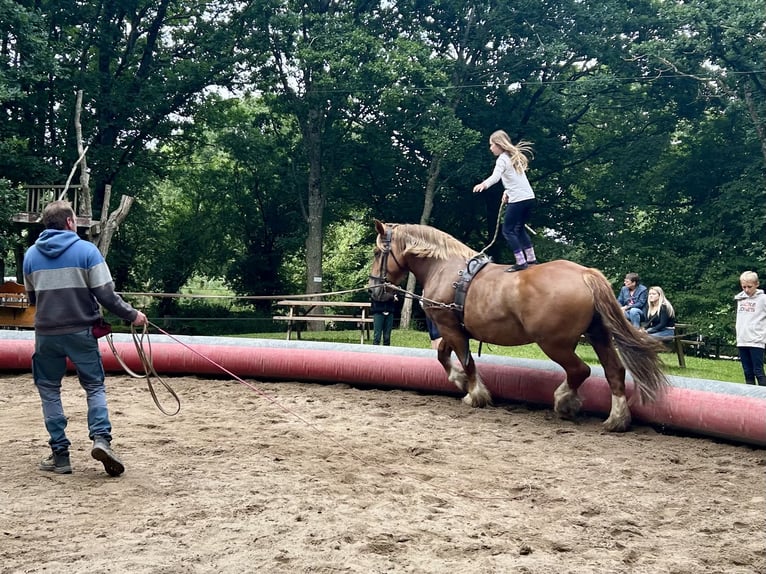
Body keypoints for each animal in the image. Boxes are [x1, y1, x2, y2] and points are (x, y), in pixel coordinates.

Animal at [368, 220, 669, 432]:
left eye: (376, 251)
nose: (373, 289)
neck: (445, 268)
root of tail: (585, 274)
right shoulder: (451, 329)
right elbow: (443, 356)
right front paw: (459, 380)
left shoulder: (449, 326)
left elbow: (465, 360)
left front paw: (474, 394)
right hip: (598, 335)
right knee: (614, 372)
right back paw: (616, 419)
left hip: (555, 343)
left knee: (580, 370)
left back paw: (564, 401)